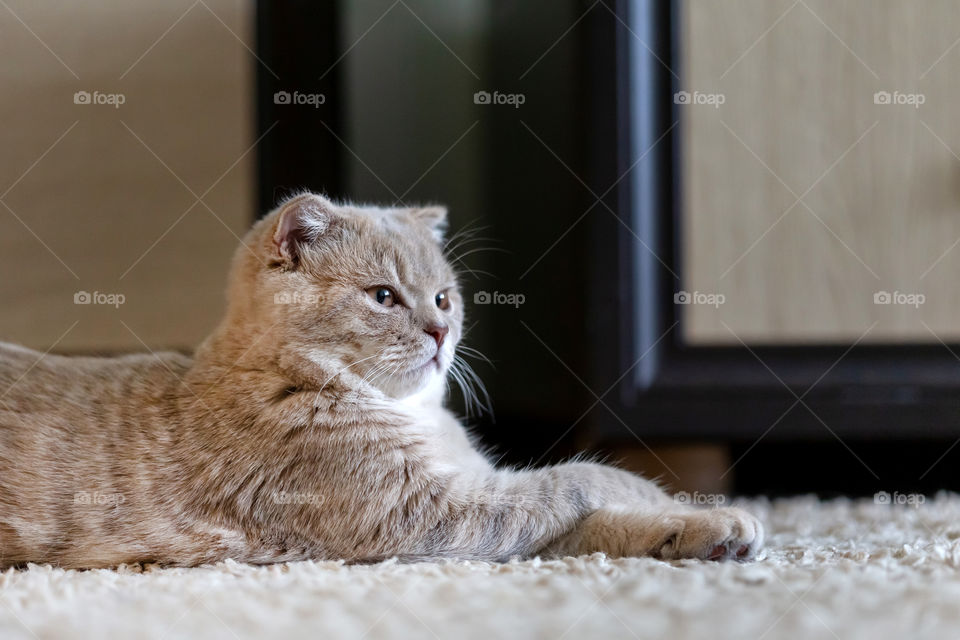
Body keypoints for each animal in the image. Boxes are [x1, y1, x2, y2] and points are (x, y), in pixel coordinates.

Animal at [0, 191, 764, 568]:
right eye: (384, 297)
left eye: (445, 298)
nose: (440, 332)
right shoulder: (433, 516)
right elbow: (575, 479)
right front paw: (660, 492)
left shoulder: (487, 514)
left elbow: (597, 524)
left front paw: (705, 527)